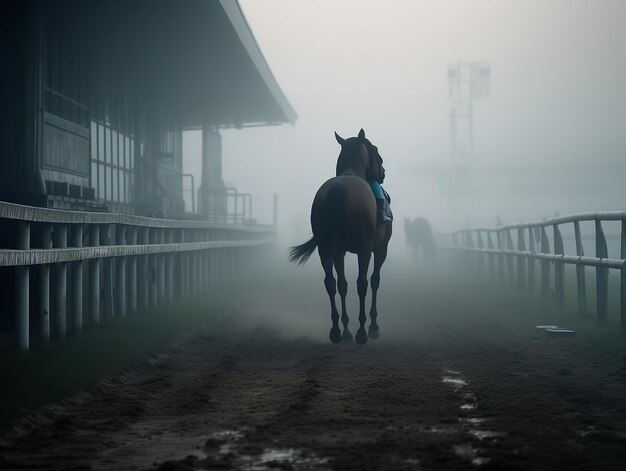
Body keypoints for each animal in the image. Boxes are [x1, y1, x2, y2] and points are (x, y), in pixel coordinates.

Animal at [288, 129, 390, 346]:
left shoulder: (339, 251)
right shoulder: (379, 249)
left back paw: (337, 331)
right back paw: (361, 332)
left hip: (327, 249)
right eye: (376, 149)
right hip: (363, 249)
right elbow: (374, 280)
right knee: (362, 283)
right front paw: (373, 327)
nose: (383, 173)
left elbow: (342, 284)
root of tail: (339, 189)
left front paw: (346, 330)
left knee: (332, 283)